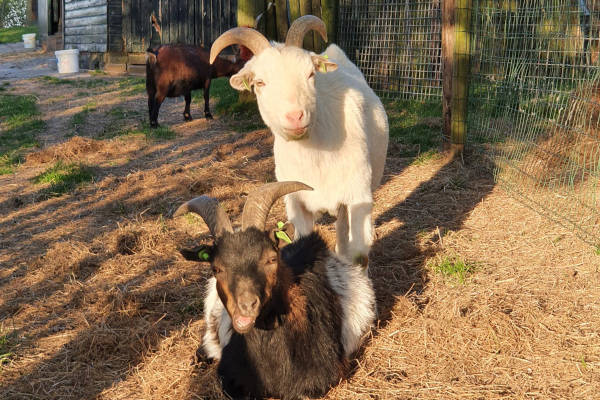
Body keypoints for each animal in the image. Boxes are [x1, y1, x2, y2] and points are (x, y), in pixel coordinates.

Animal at [211, 17, 390, 270]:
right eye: (259, 82)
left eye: (310, 74)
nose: (295, 116)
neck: (317, 158)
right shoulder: (296, 203)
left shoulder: (358, 196)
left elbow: (357, 255)